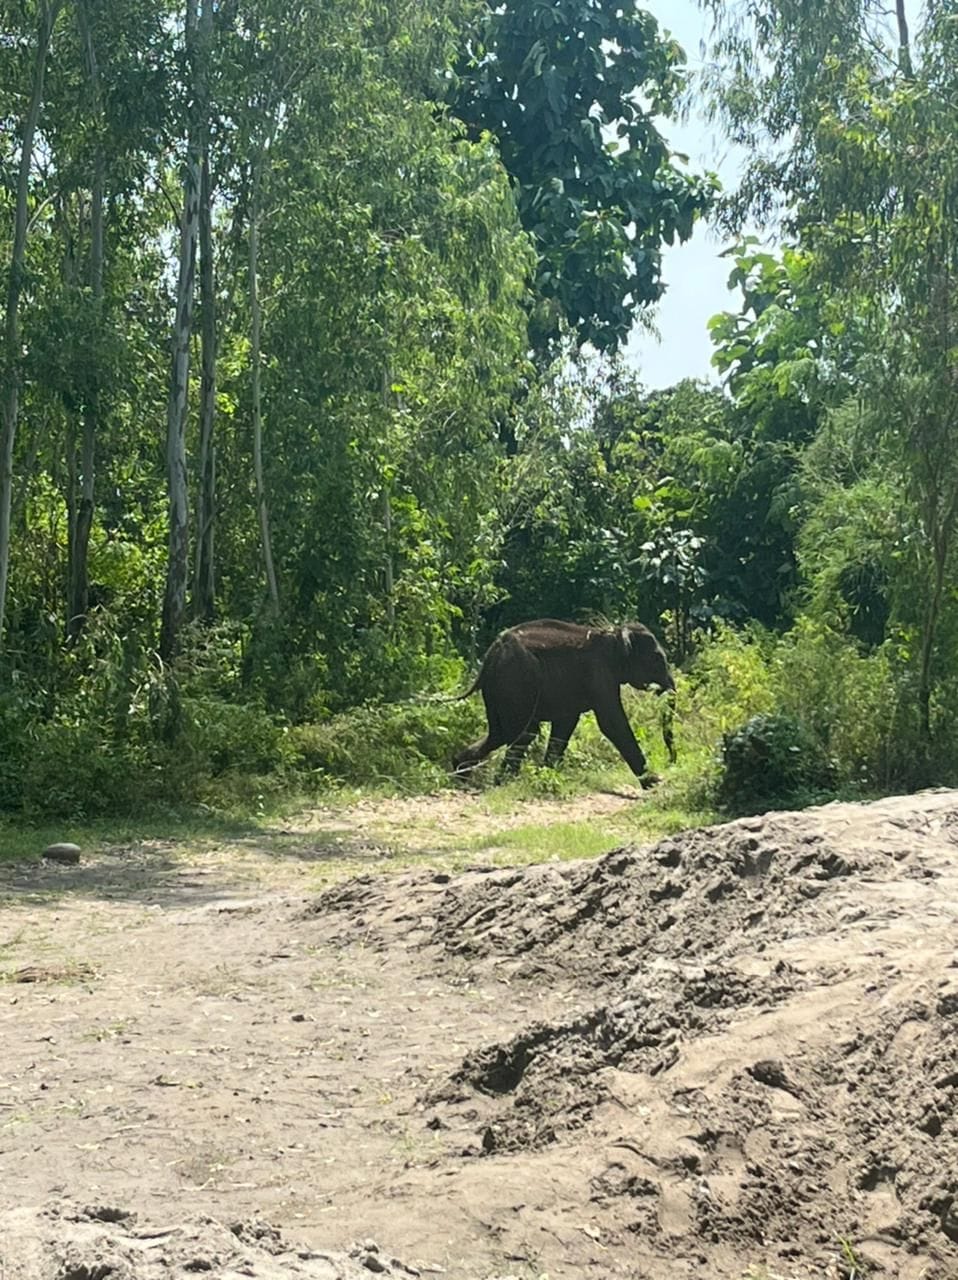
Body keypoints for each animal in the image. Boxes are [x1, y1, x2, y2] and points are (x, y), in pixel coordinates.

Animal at [453, 618, 675, 782]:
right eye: (657, 658)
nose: (671, 762)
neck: (614, 634)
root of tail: (492, 653)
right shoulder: (600, 673)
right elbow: (612, 723)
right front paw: (654, 783)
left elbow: (566, 723)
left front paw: (547, 774)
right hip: (516, 679)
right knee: (523, 733)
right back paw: (504, 781)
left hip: (500, 688)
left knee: (499, 733)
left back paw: (461, 772)